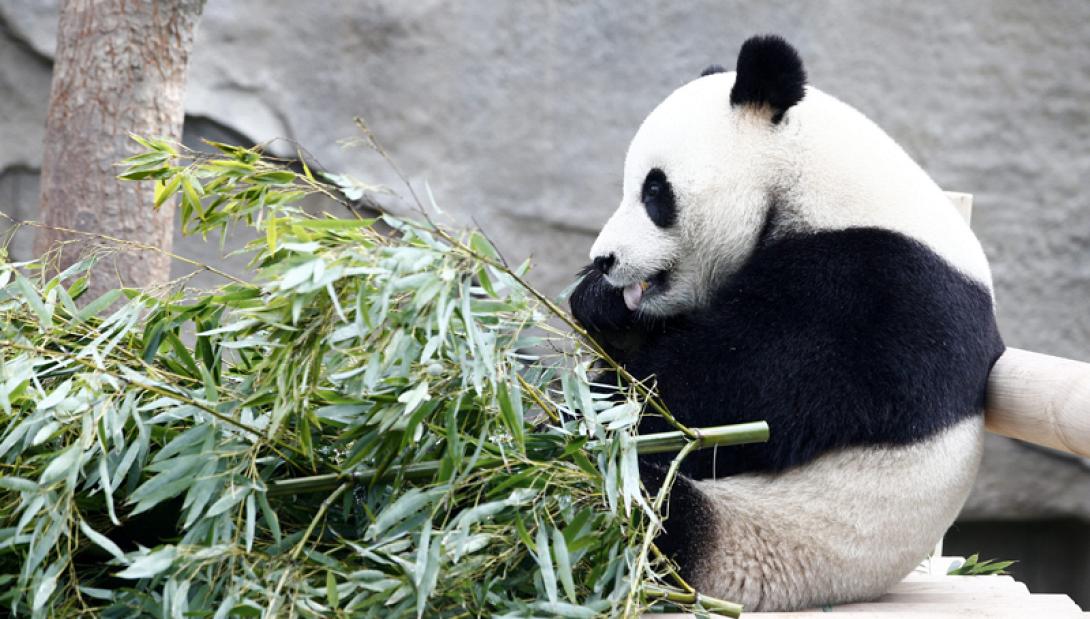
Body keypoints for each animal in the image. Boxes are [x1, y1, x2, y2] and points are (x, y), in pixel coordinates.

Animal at [569, 35, 1005, 611]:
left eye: (655, 192)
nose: (605, 260)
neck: (806, 174)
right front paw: (601, 304)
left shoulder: (874, 288)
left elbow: (741, 389)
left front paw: (600, 406)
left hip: (766, 536)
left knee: (644, 503)